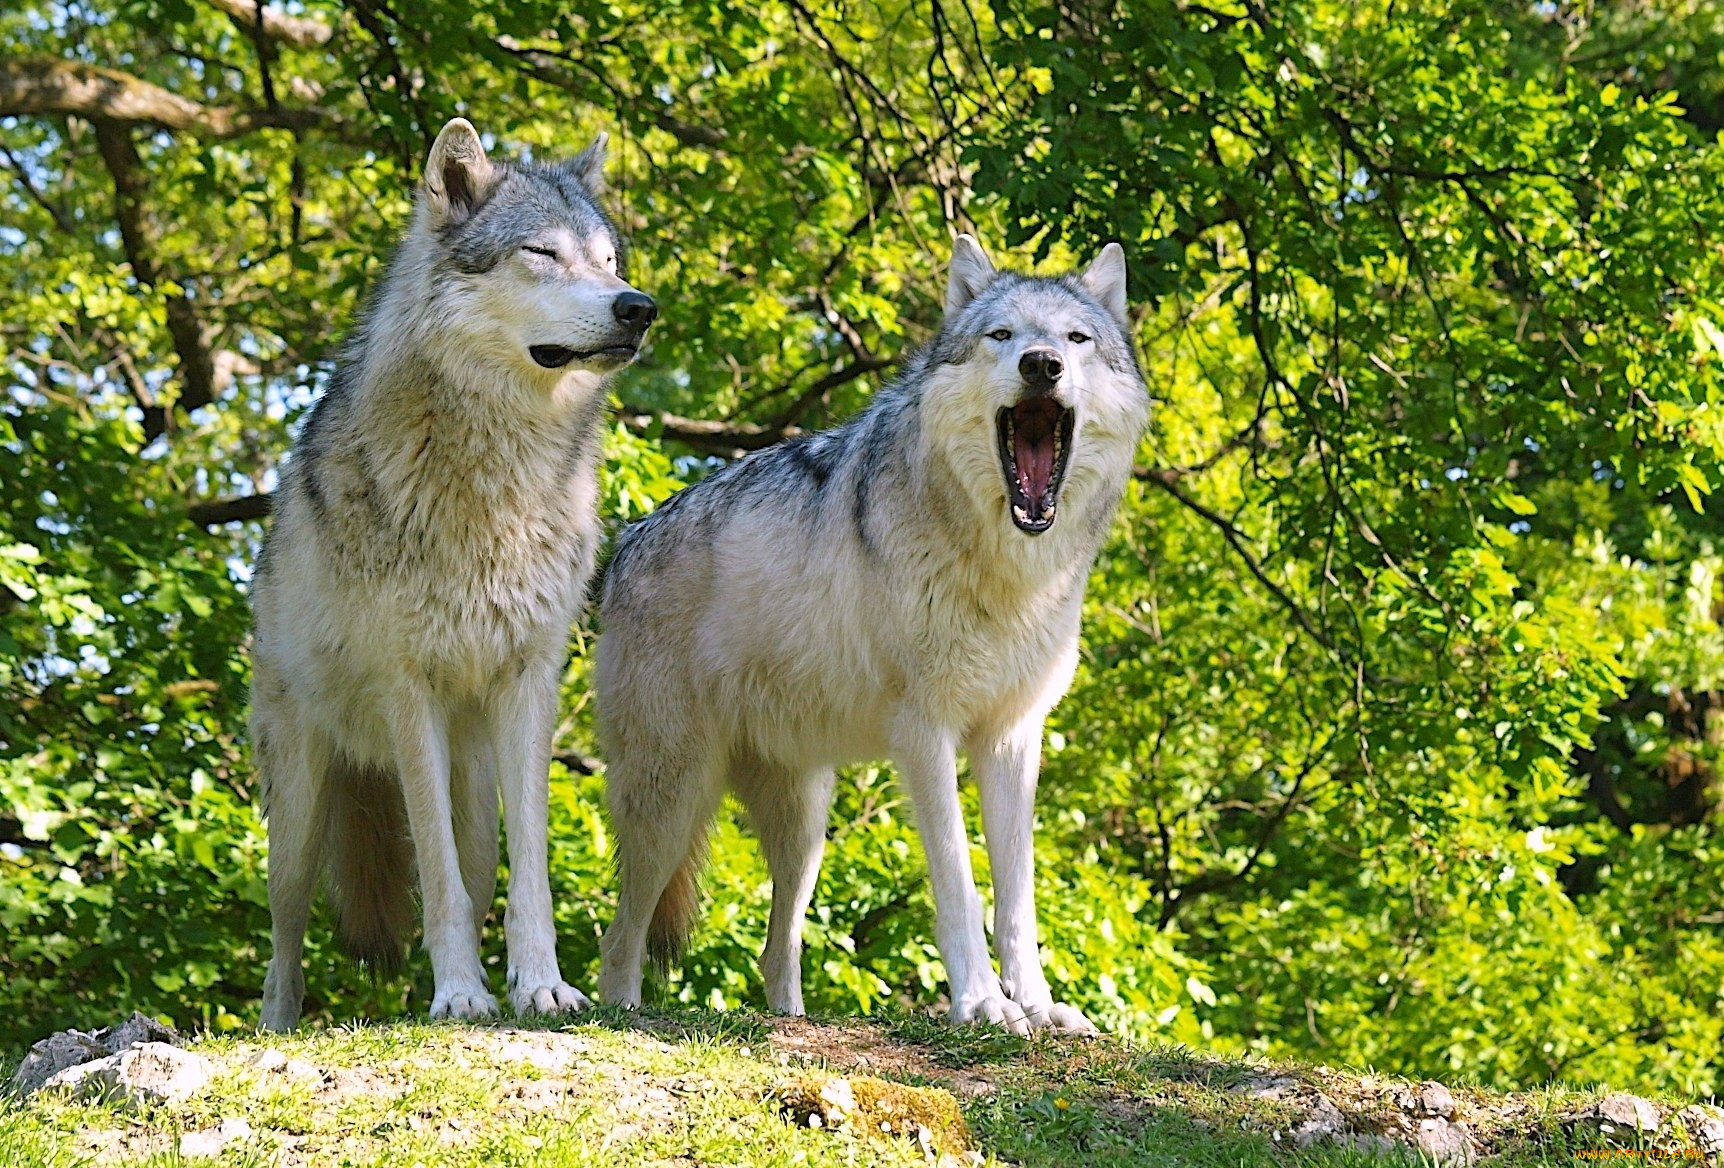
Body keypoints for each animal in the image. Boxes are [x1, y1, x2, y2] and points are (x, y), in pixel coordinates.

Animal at [251, 118, 655, 1028]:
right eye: (541, 252)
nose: (639, 308)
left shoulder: (530, 684)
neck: (497, 480)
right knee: (284, 938)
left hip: (471, 781)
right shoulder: (410, 693)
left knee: (476, 871)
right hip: (299, 811)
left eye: (610, 260)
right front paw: (460, 993)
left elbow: (527, 872)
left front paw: (540, 986)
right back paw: (277, 1024)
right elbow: (434, 879)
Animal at [593, 232, 1144, 1035]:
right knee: (620, 937)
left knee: (776, 950)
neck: (1005, 572)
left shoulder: (1013, 737)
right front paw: (983, 1004)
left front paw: (1038, 1006)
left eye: (1076, 340)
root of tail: (627, 540)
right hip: (673, 799)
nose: (1042, 364)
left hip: (803, 827)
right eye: (1001, 336)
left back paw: (789, 1024)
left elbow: (1017, 897)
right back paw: (623, 1016)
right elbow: (959, 881)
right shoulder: (925, 732)